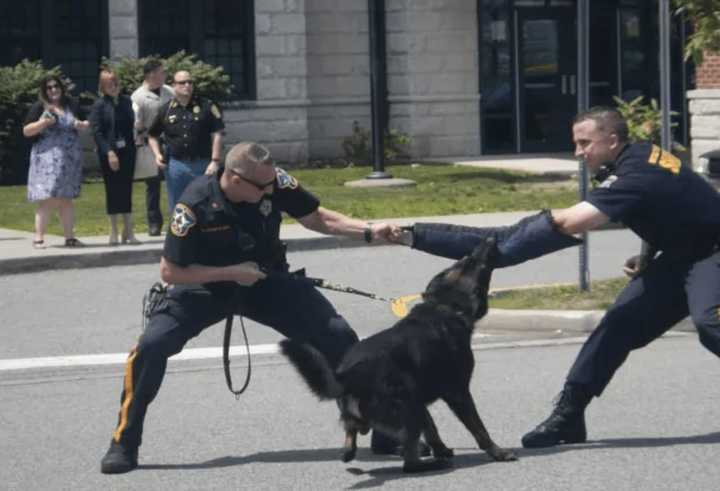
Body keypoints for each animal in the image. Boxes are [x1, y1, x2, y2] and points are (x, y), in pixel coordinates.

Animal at [282, 238, 516, 472]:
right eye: (473, 261)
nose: (491, 239)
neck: (444, 305)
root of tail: (350, 376)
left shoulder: (423, 397)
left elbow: (432, 428)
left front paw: (440, 448)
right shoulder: (458, 393)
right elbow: (478, 428)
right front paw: (497, 452)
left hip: (405, 407)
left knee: (350, 443)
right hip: (410, 408)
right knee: (409, 464)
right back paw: (432, 465)